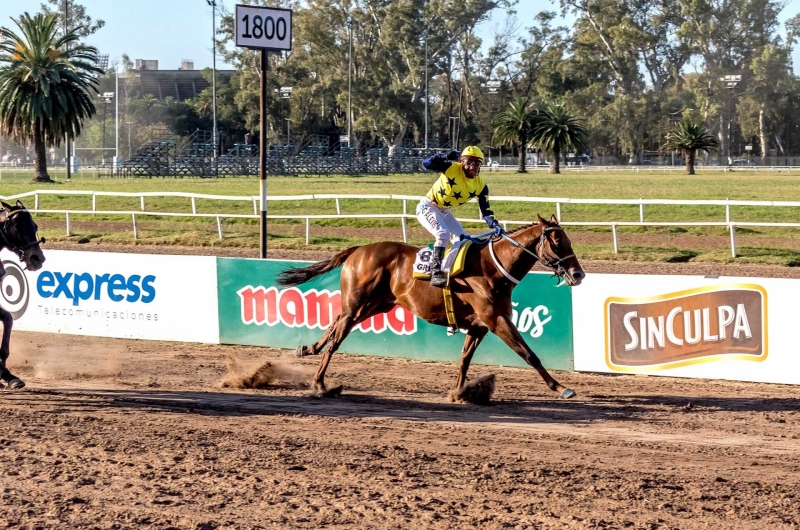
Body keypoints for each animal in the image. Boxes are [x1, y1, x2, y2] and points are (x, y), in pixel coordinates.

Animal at [278, 212, 584, 398]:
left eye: (570, 240)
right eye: (557, 244)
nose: (578, 274)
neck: (492, 268)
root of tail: (358, 249)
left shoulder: (479, 326)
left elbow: (464, 359)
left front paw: (458, 392)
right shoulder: (496, 320)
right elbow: (529, 354)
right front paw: (561, 387)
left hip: (375, 305)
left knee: (335, 322)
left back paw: (307, 348)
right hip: (360, 304)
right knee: (336, 339)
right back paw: (319, 382)